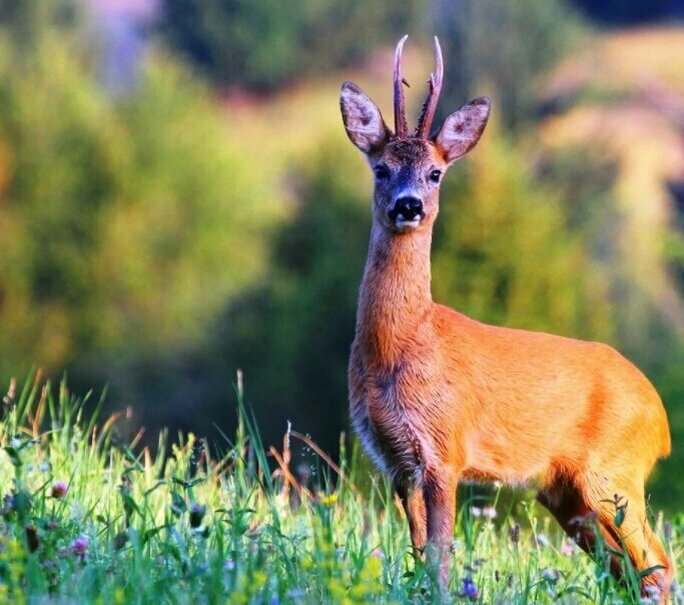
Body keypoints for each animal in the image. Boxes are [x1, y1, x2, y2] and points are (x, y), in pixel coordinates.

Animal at [340, 36, 672, 600]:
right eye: (380, 169)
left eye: (435, 173)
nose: (408, 206)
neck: (402, 346)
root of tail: (661, 419)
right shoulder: (395, 461)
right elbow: (417, 552)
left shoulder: (444, 449)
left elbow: (440, 556)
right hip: (566, 494)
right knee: (628, 572)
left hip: (614, 472)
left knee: (659, 565)